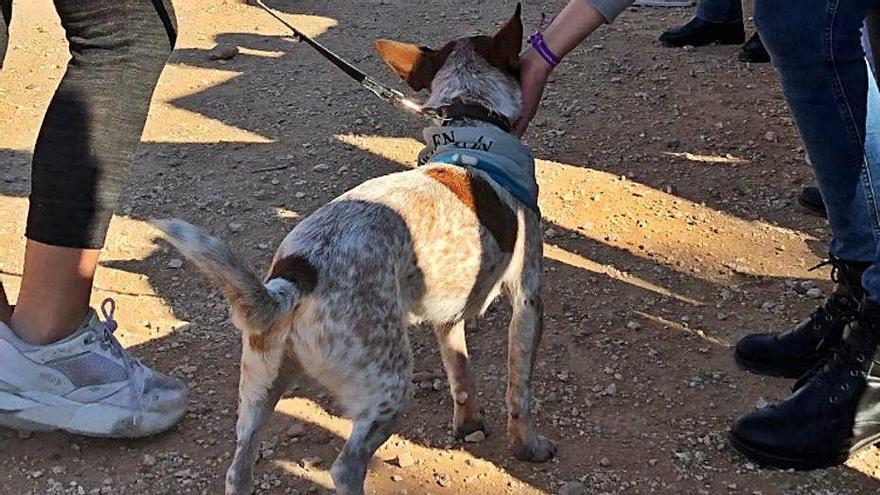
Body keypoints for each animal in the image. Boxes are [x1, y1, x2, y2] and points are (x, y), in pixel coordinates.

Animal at [153, 5, 552, 494]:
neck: (468, 126)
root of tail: (296, 278)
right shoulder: (528, 298)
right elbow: (520, 389)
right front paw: (528, 446)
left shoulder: (447, 315)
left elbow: (461, 375)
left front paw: (468, 425)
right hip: (387, 387)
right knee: (346, 467)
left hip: (260, 386)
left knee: (239, 466)